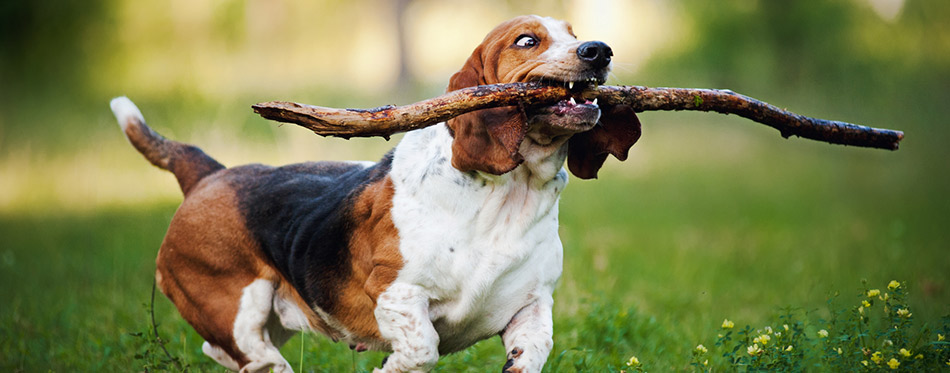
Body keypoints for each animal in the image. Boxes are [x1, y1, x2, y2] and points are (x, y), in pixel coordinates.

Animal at [113, 15, 640, 372]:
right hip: (238, 305)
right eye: (528, 41)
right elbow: (423, 348)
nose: (599, 50)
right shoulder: (397, 294)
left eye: (574, 32)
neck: (511, 195)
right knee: (251, 354)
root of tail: (209, 175)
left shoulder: (532, 305)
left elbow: (534, 351)